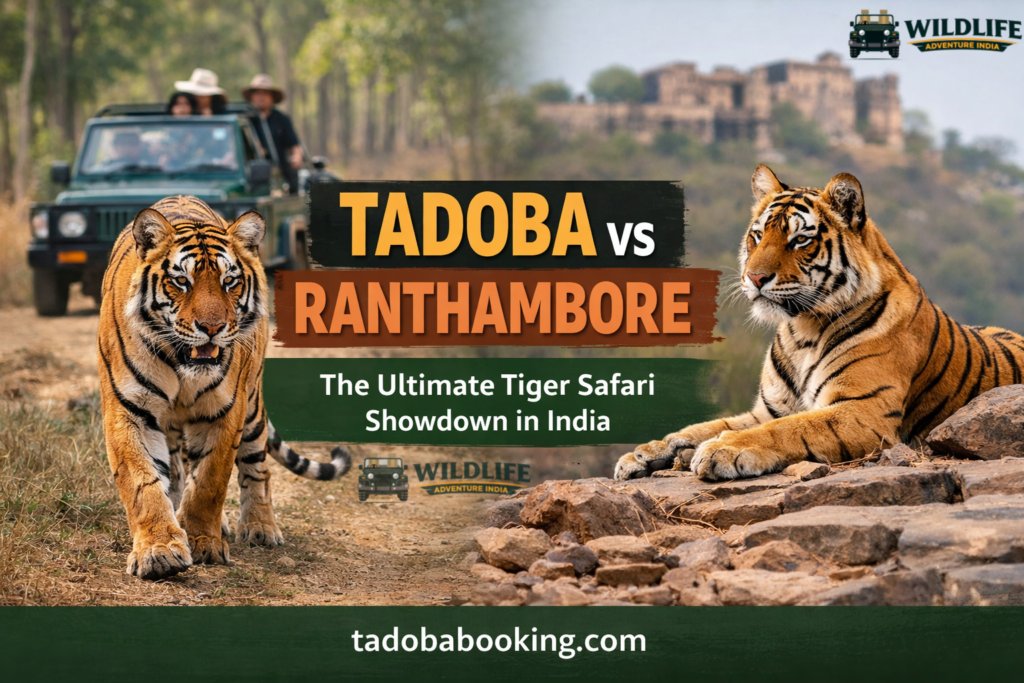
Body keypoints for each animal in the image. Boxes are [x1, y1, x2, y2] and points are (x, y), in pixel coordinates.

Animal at [97, 195, 350, 580]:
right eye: (181, 281)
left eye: (230, 281)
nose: (212, 328)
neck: (181, 364)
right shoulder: (128, 410)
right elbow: (144, 484)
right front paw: (159, 550)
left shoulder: (225, 410)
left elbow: (210, 481)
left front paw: (203, 540)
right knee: (177, 470)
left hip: (253, 406)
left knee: (257, 467)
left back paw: (260, 527)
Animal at [615, 165, 1024, 482]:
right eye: (758, 235)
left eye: (799, 240)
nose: (754, 277)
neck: (802, 331)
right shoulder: (767, 409)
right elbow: (704, 427)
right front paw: (644, 453)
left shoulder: (862, 410)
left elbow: (786, 429)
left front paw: (724, 450)